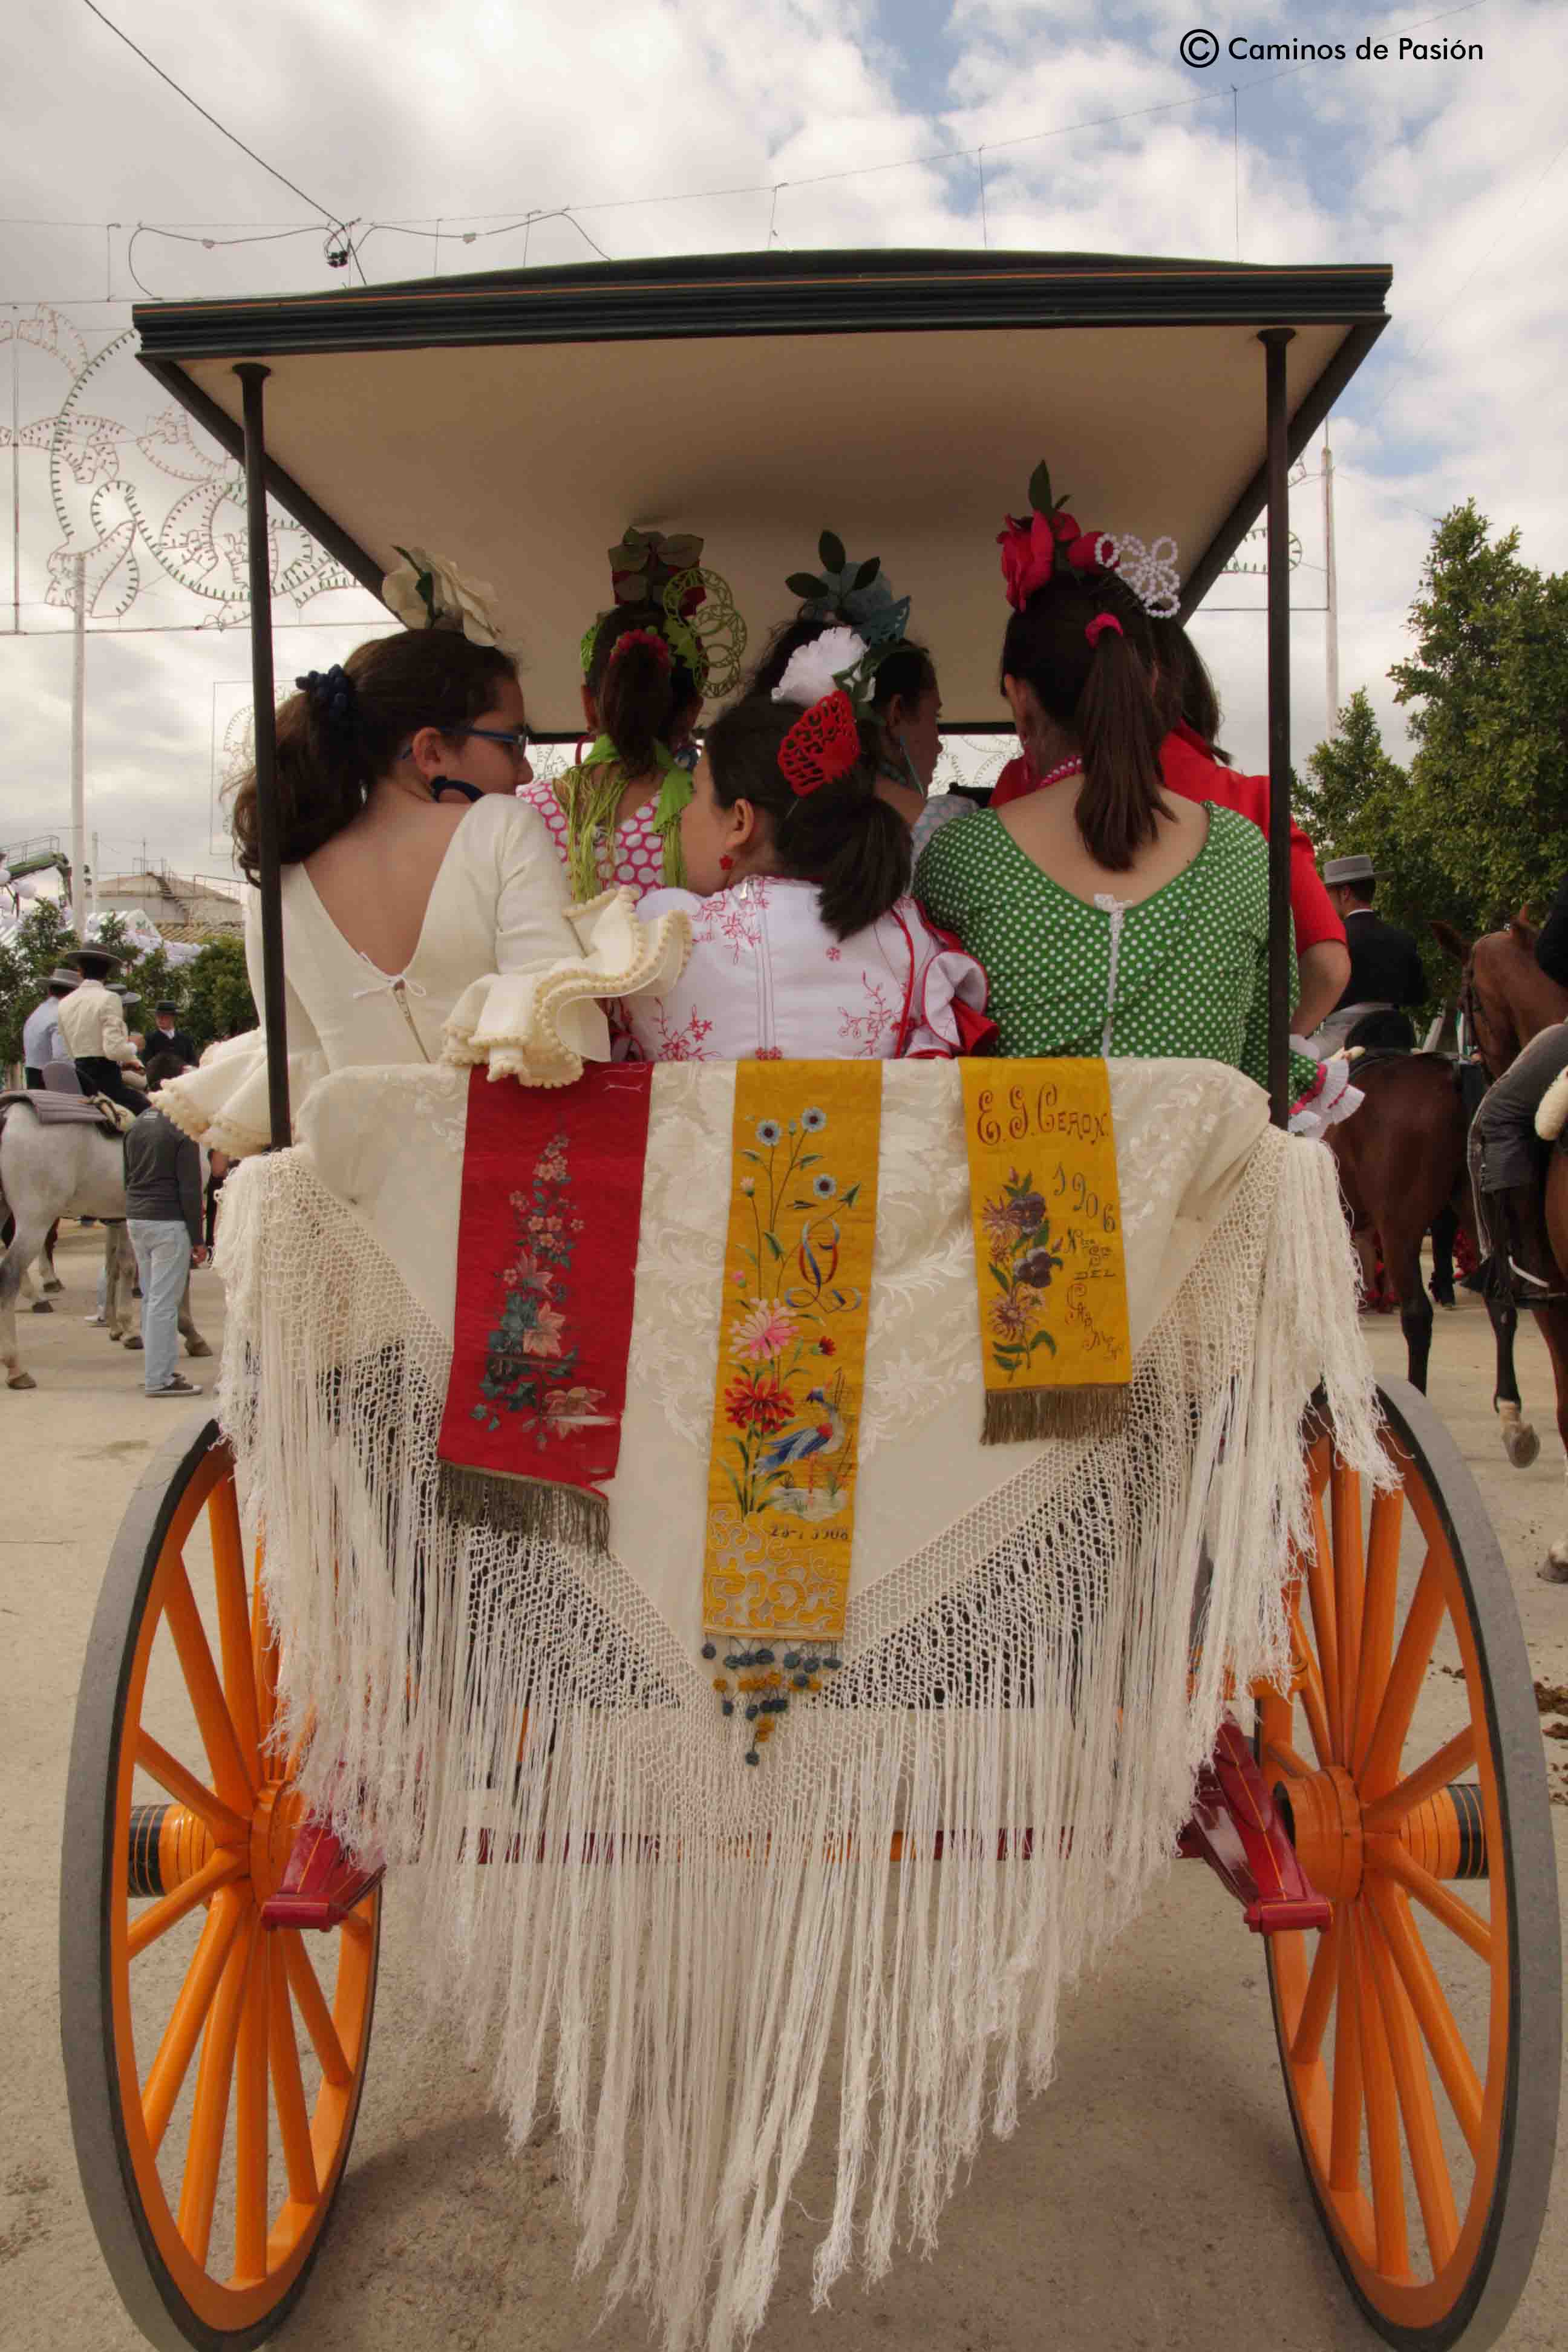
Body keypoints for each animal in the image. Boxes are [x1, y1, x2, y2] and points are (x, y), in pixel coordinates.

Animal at [0, 1100, 210, 1390]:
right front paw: (188, 1333)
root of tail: (8, 1114)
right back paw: (16, 1366)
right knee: (9, 1275)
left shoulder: (119, 1218)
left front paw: (118, 1327)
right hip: (35, 1220)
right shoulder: (183, 1208)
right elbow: (165, 1272)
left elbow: (115, 1266)